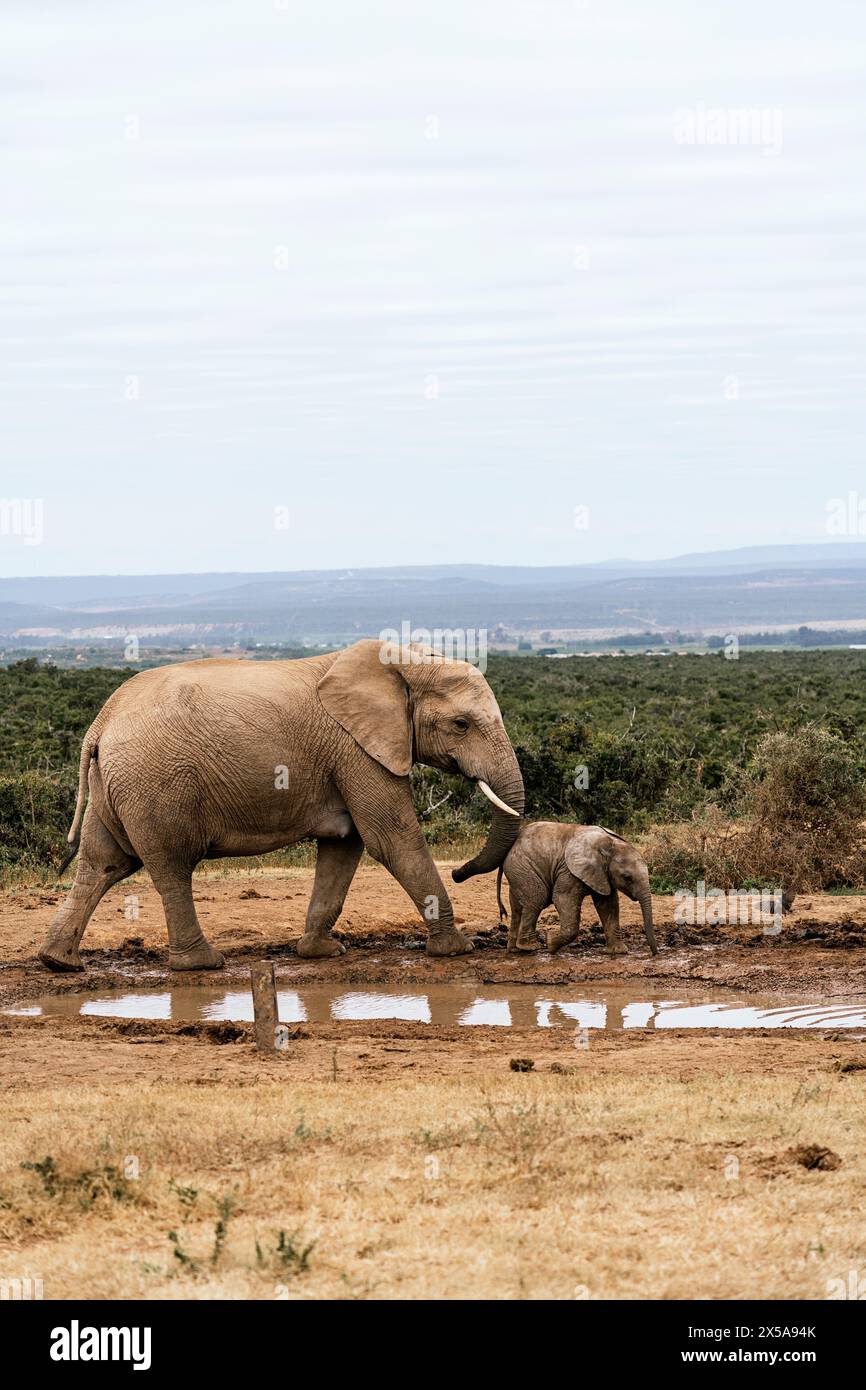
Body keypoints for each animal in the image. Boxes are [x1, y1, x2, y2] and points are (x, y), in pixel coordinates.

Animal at [37, 639, 524, 973]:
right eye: (460, 724)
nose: (459, 872)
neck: (404, 661)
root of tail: (101, 722)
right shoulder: (357, 749)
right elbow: (392, 839)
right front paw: (457, 949)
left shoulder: (347, 755)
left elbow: (345, 845)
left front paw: (320, 953)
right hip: (154, 782)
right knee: (171, 865)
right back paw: (202, 964)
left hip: (114, 784)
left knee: (103, 863)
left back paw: (58, 961)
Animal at [495, 822, 657, 956]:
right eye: (627, 877)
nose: (654, 954)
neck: (609, 845)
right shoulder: (568, 870)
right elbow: (562, 899)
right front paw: (550, 943)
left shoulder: (602, 874)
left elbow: (608, 905)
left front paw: (618, 951)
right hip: (523, 866)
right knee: (537, 899)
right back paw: (529, 947)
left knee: (518, 908)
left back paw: (515, 950)